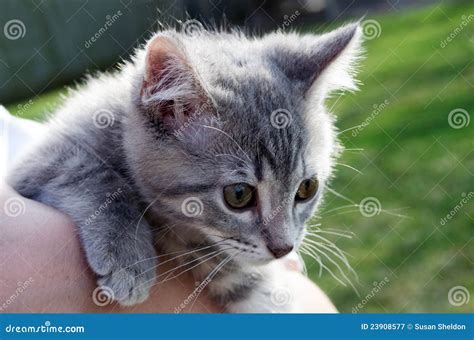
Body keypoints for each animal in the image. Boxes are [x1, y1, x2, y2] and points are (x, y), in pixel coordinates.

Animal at [8, 22, 362, 312]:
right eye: (238, 195)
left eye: (307, 188)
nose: (283, 248)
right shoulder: (38, 162)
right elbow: (90, 173)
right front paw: (126, 255)